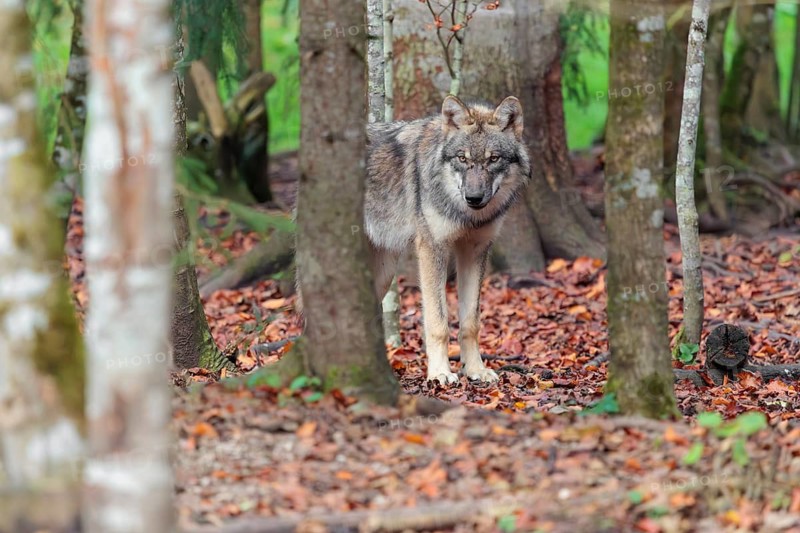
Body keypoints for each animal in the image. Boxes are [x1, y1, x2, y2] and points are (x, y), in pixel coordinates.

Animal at [364, 95, 531, 385]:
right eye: (462, 158)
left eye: (494, 159)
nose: (473, 198)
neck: (465, 214)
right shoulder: (432, 249)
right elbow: (438, 322)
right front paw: (440, 372)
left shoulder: (475, 250)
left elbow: (471, 322)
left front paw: (475, 370)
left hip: (383, 275)